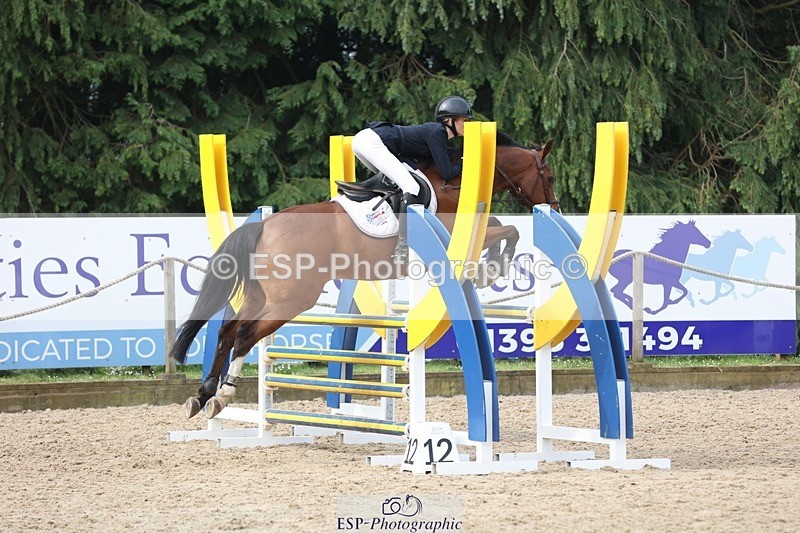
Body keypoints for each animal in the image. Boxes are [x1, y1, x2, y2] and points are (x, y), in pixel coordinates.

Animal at [171, 138, 559, 419]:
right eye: (549, 176)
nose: (554, 207)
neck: (454, 183)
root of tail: (265, 225)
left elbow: (499, 225)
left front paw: (489, 267)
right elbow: (507, 229)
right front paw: (493, 267)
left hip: (262, 296)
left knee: (227, 331)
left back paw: (204, 394)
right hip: (292, 299)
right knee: (245, 335)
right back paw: (223, 393)